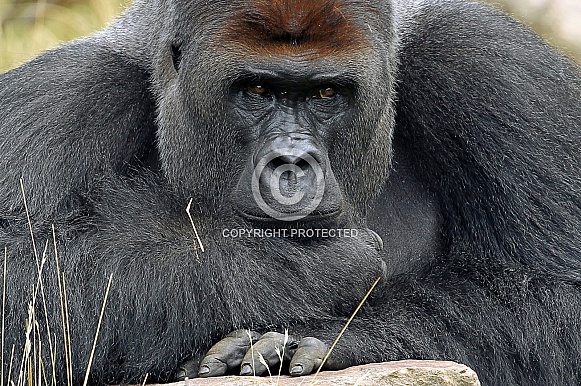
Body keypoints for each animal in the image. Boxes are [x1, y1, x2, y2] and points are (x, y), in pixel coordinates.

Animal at [1, 0, 580, 384]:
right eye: (256, 90)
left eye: (326, 92)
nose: (291, 165)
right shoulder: (64, 94)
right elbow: (24, 291)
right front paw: (316, 269)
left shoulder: (491, 66)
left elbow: (556, 301)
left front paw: (339, 341)